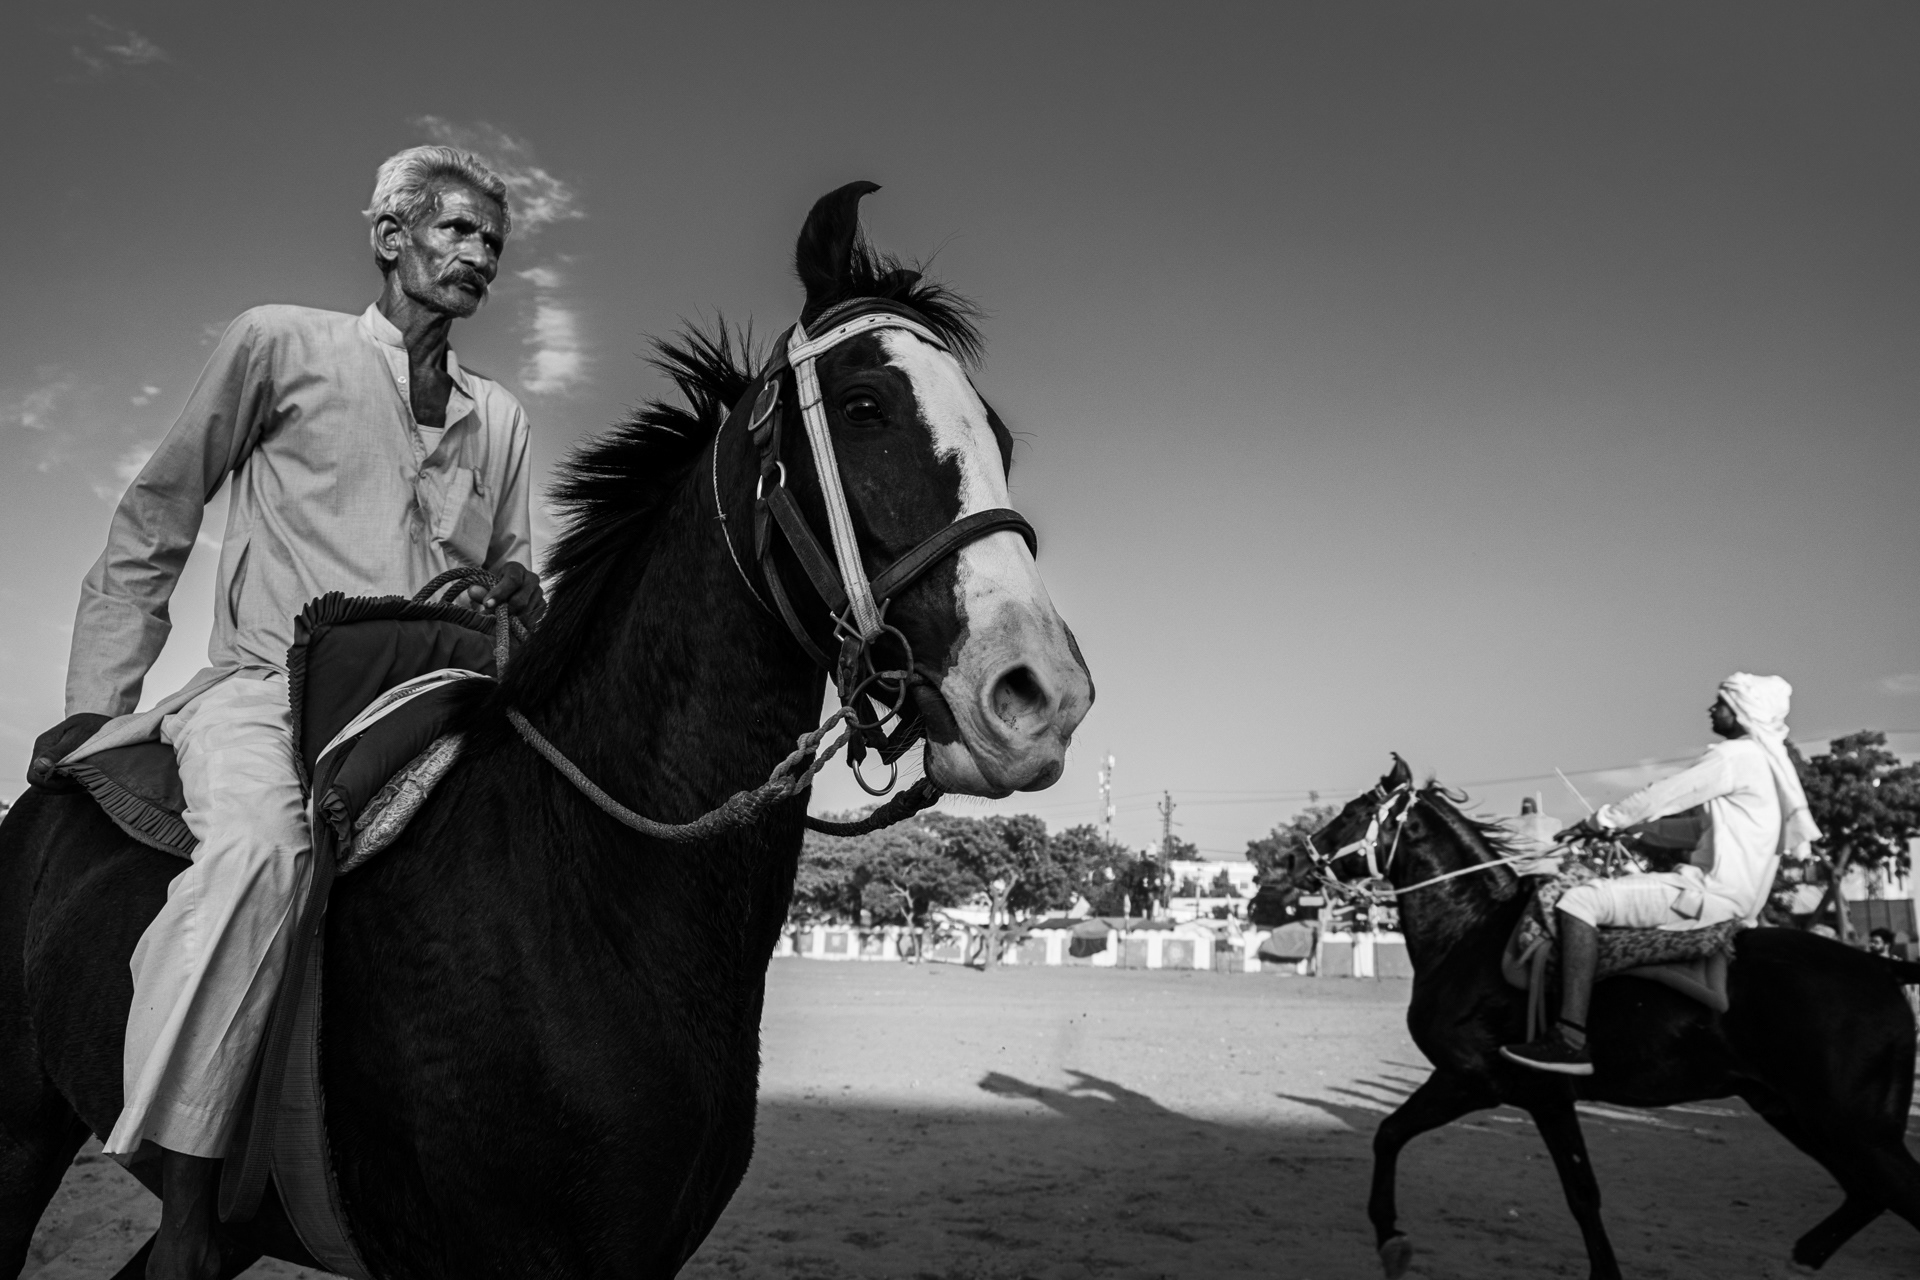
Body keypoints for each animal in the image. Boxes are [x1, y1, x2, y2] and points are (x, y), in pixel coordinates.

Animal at [1275, 755, 1920, 1279]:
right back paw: (1806, 1253)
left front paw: (1391, 1237)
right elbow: (1395, 1135)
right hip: (1795, 1111)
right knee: (1867, 1194)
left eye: (1353, 811)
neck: (1474, 937)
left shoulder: (1488, 1084)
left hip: (1852, 1126)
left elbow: (1575, 1191)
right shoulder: (1504, 1089)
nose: (1293, 857)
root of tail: (1882, 967)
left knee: (1893, 1192)